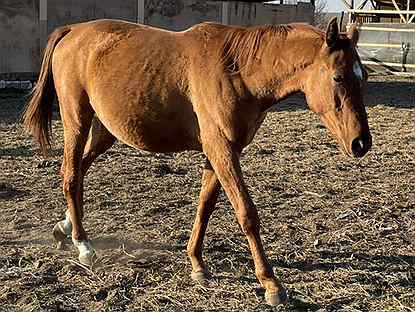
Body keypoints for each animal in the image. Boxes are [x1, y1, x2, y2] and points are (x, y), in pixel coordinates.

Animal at [22, 16, 374, 304]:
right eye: (338, 77)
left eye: (364, 77)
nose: (361, 144)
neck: (238, 70)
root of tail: (73, 31)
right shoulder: (221, 149)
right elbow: (247, 213)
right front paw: (271, 283)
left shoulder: (219, 152)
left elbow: (205, 206)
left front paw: (197, 264)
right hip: (77, 122)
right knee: (70, 174)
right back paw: (82, 244)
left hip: (105, 131)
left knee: (80, 171)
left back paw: (65, 227)